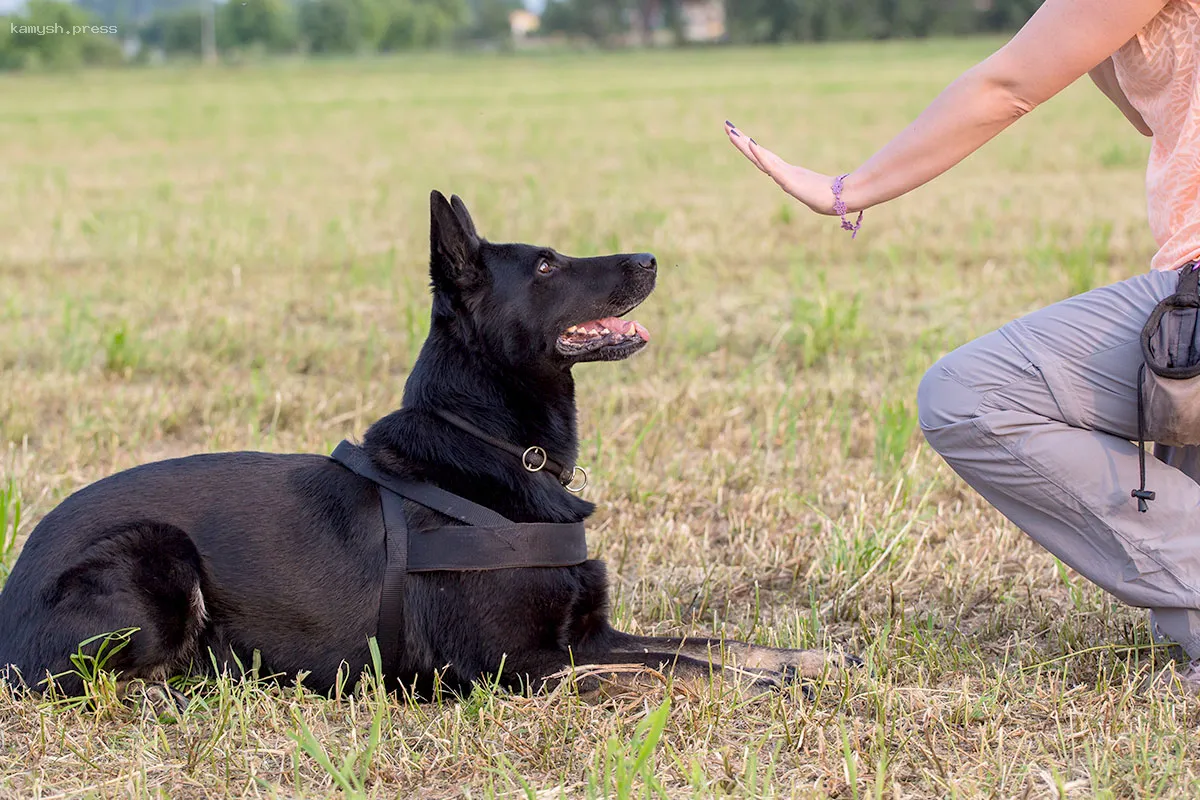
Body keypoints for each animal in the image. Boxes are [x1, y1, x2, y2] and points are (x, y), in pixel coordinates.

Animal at [2, 191, 864, 705]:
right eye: (545, 264)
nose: (650, 257)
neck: (495, 449)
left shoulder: (588, 633)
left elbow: (710, 642)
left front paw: (809, 661)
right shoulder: (518, 667)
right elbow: (679, 667)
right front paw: (769, 691)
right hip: (155, 554)